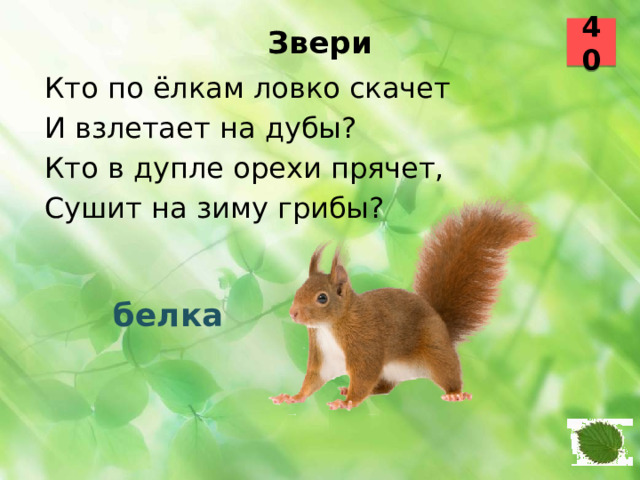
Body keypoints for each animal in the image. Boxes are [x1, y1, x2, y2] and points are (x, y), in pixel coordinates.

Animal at [270, 202, 535, 411]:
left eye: (322, 298)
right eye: (299, 290)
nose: (293, 313)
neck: (331, 326)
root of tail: (441, 323)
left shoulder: (365, 345)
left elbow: (363, 376)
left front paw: (347, 403)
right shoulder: (323, 356)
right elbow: (315, 379)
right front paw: (293, 397)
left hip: (436, 352)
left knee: (448, 371)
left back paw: (454, 393)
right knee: (385, 387)